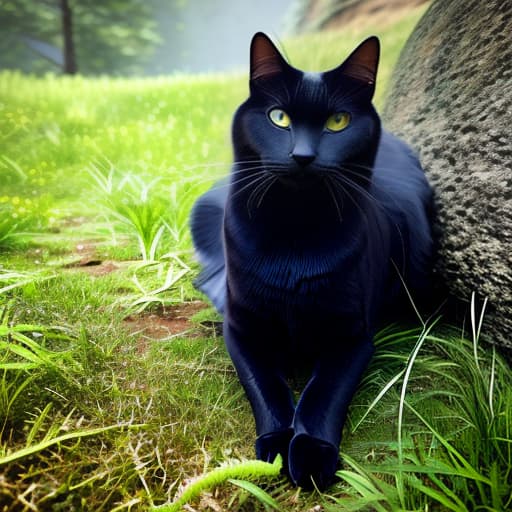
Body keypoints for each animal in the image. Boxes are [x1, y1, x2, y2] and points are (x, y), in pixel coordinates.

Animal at [190, 32, 434, 488]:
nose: (302, 156)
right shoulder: (242, 330)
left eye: (338, 121)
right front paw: (274, 443)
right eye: (279, 117)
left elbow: (324, 393)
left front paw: (310, 450)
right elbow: (265, 386)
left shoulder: (352, 338)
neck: (295, 232)